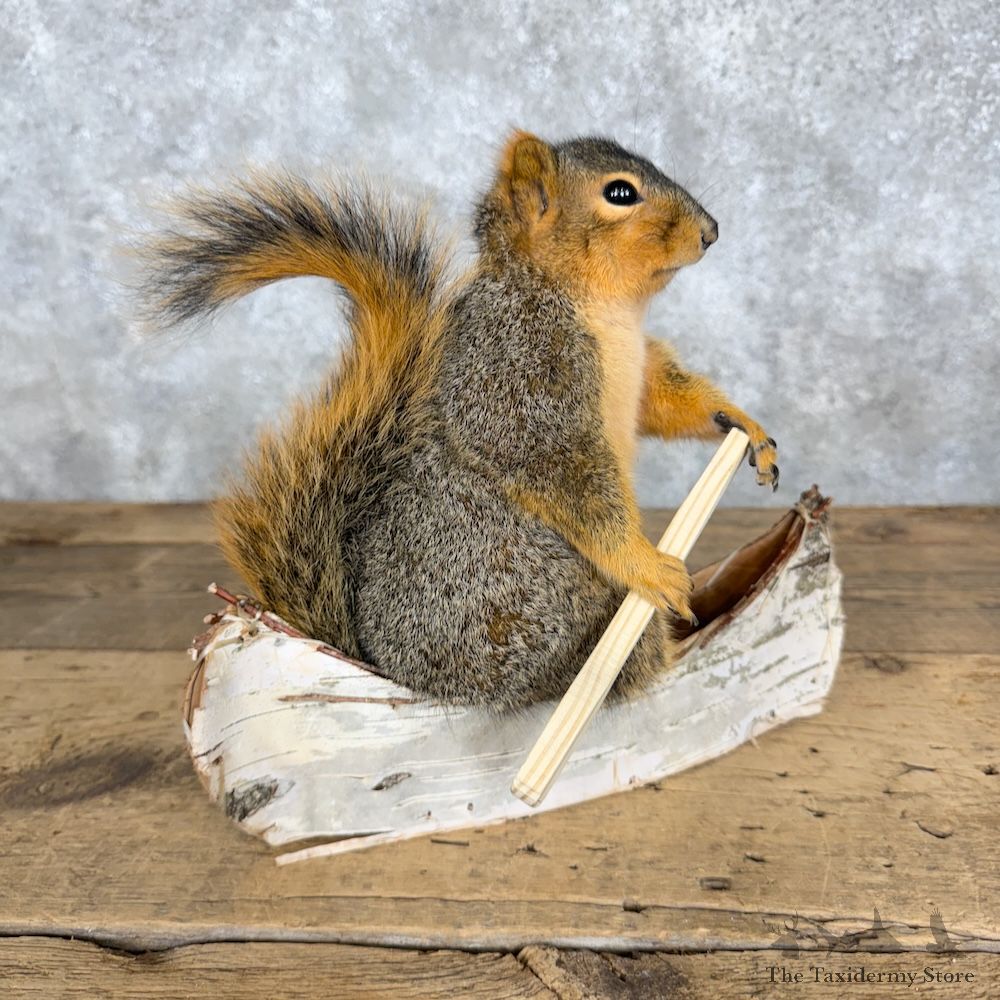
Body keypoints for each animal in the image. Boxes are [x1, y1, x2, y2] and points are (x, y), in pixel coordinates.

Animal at [141, 130, 779, 713]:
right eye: (620, 193)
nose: (711, 231)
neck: (595, 305)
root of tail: (391, 669)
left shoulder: (640, 372)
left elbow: (666, 400)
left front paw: (742, 422)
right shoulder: (520, 375)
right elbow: (560, 471)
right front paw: (645, 563)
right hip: (535, 606)